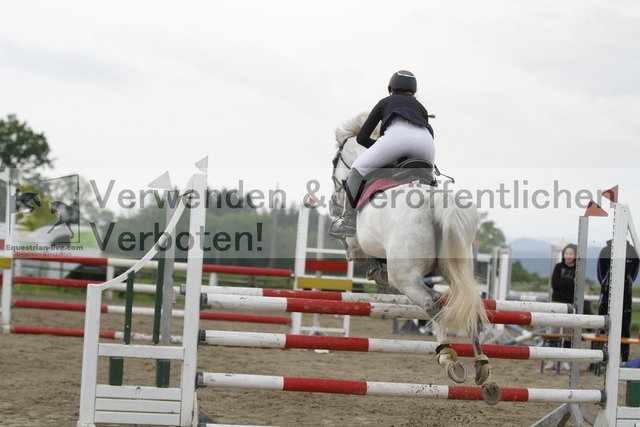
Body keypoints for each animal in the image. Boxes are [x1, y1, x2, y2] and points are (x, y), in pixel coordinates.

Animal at [329, 112, 500, 405]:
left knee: (435, 304)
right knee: (469, 308)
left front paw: (372, 266)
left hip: (406, 278)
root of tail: (436, 200)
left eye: (334, 161)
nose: (332, 202)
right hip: (457, 268)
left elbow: (355, 247)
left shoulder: (359, 239)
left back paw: (448, 357)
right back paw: (484, 371)